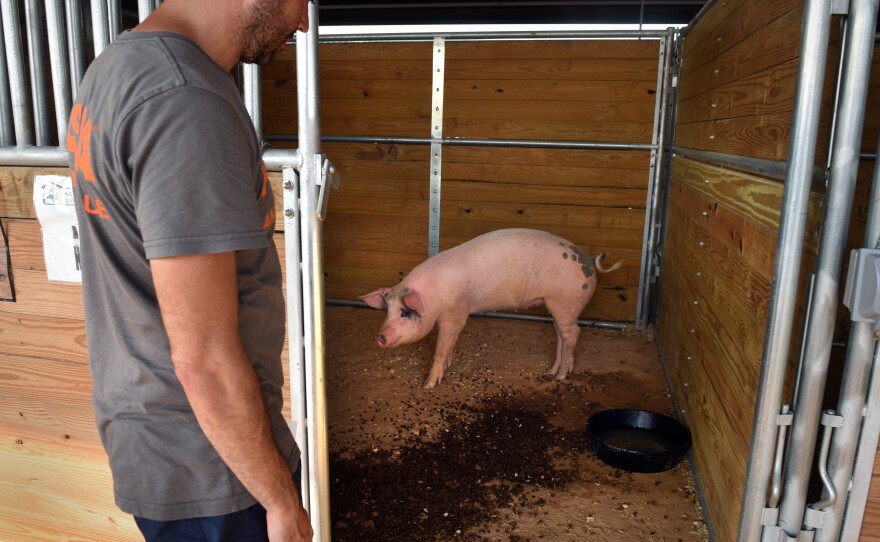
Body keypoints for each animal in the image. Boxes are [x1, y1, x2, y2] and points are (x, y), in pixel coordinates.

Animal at [356, 230, 620, 392]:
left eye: (405, 312)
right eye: (387, 311)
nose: (379, 337)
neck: (433, 296)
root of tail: (589, 259)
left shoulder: (456, 313)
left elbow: (442, 347)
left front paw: (429, 386)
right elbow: (449, 346)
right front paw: (448, 366)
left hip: (565, 301)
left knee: (573, 333)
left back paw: (561, 377)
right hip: (556, 305)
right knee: (561, 334)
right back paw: (551, 371)